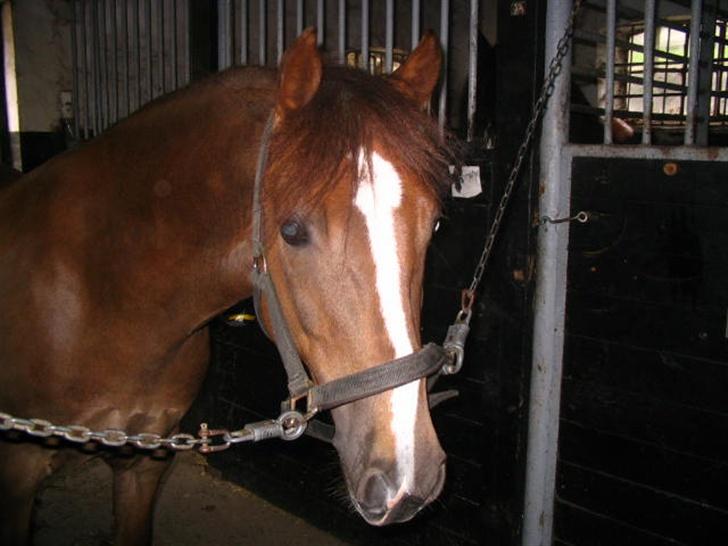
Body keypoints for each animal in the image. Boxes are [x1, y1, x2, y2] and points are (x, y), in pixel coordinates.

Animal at [0, 29, 456, 544]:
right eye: (291, 231)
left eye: (435, 225)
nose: (409, 479)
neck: (104, 299)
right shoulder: (17, 473)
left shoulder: (144, 465)